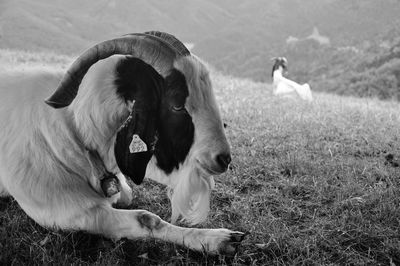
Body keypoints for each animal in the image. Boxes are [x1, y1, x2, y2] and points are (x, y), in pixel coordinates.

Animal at [0, 31, 245, 256]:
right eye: (176, 105)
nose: (224, 159)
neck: (74, 135)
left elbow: (130, 199)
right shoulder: (69, 213)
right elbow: (147, 218)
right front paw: (218, 239)